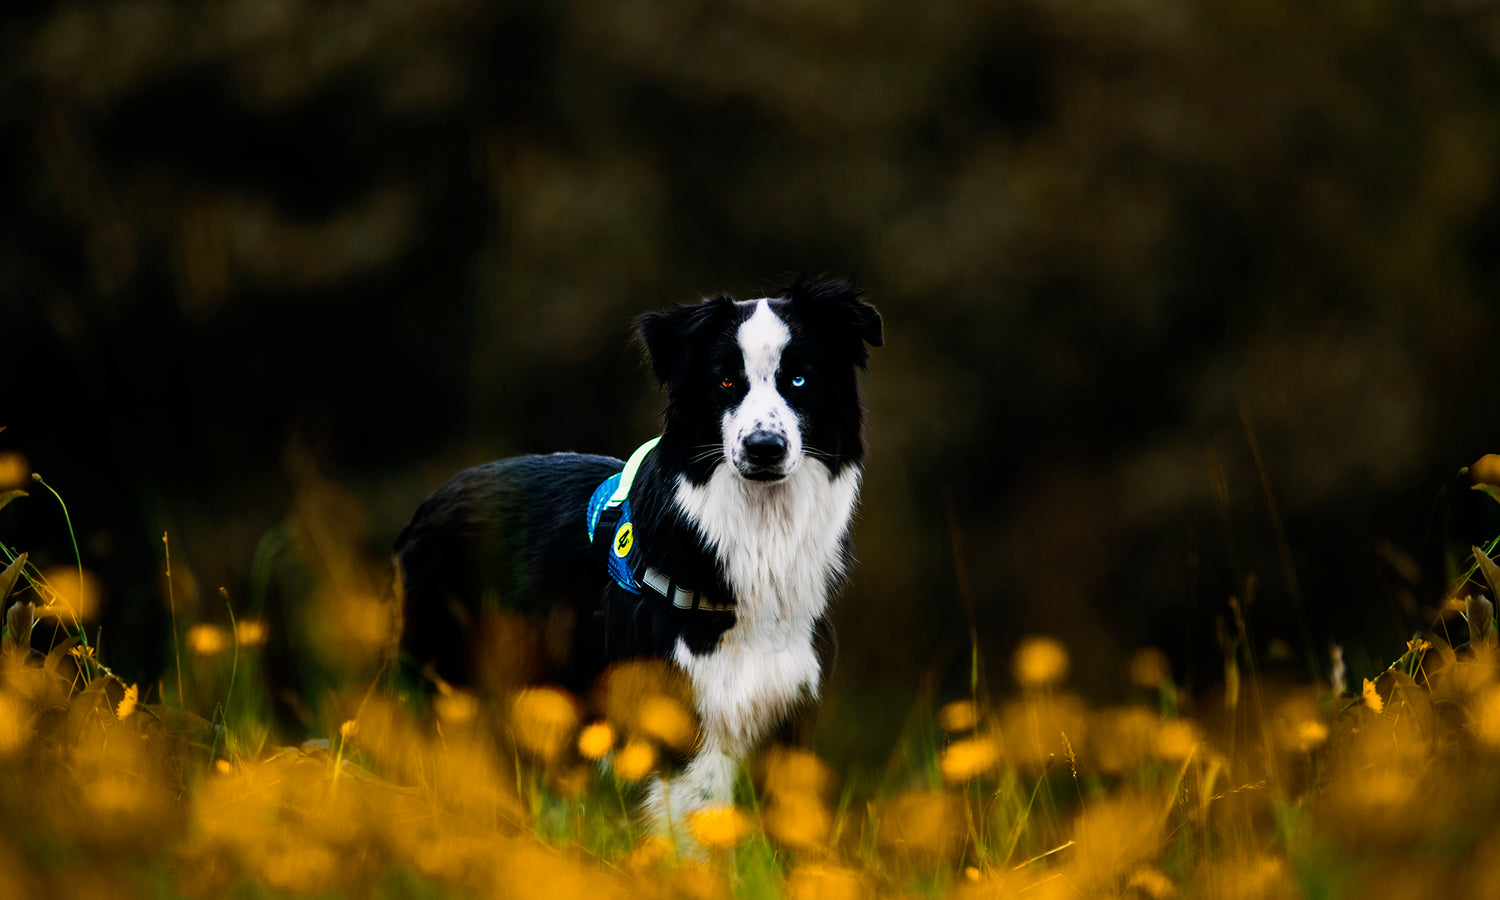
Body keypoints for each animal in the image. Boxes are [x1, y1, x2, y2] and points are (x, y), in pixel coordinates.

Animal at [396, 276, 876, 828]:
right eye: (725, 382)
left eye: (798, 380)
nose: (764, 448)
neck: (758, 533)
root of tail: (430, 502)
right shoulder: (675, 720)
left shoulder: (792, 710)